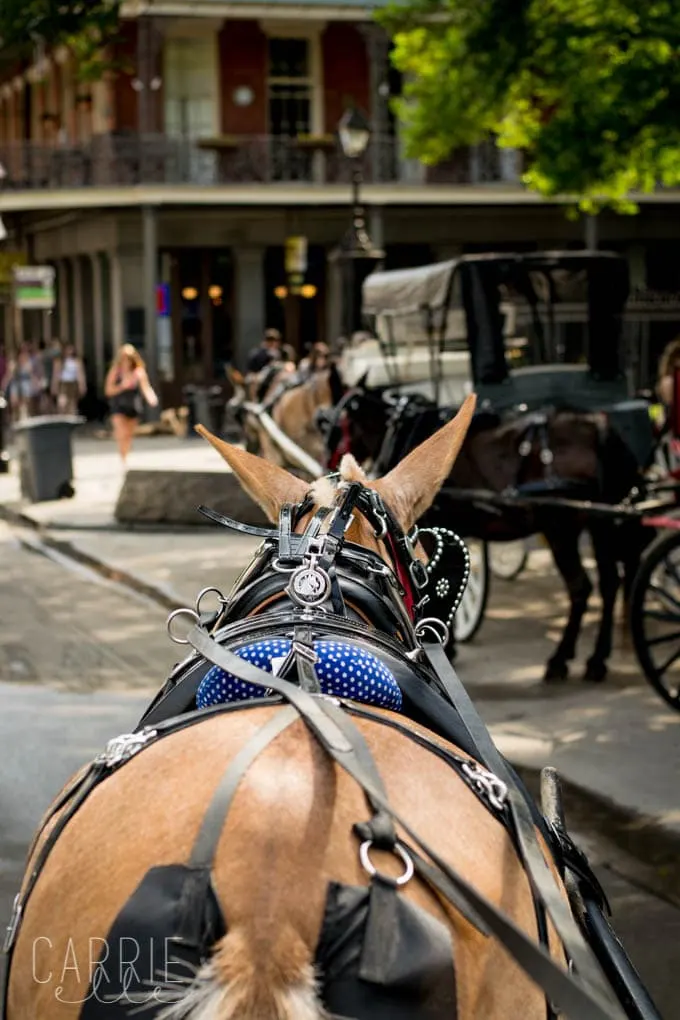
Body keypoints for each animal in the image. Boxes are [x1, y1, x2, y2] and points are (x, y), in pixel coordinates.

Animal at [324, 383, 648, 685]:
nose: (328, 465)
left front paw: (447, 645)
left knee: (582, 587)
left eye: (334, 426)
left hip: (562, 528)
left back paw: (564, 659)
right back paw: (594, 659)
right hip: (600, 524)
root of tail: (599, 427)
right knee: (609, 583)